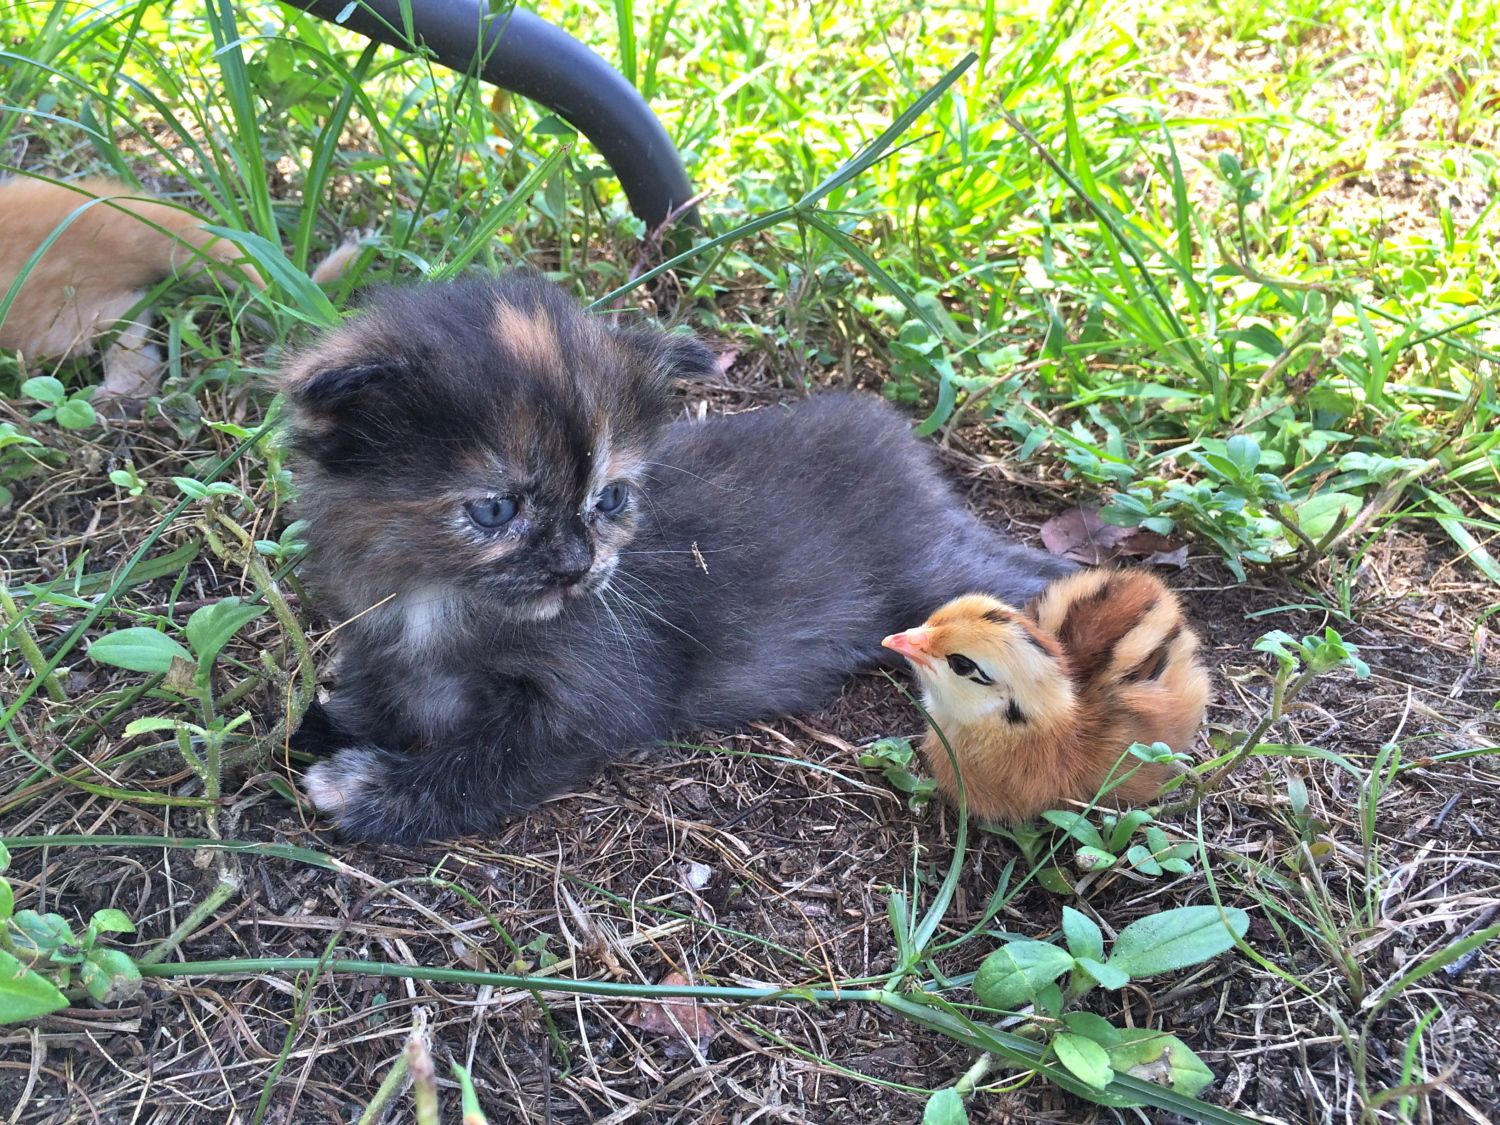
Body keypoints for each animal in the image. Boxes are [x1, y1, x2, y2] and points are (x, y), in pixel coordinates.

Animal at [284, 272, 1075, 842]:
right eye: (496, 510)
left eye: (609, 499)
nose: (578, 566)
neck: (437, 598)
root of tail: (902, 446)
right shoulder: (377, 637)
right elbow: (375, 696)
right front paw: (321, 725)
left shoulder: (595, 698)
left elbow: (488, 761)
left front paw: (371, 788)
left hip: (936, 577)